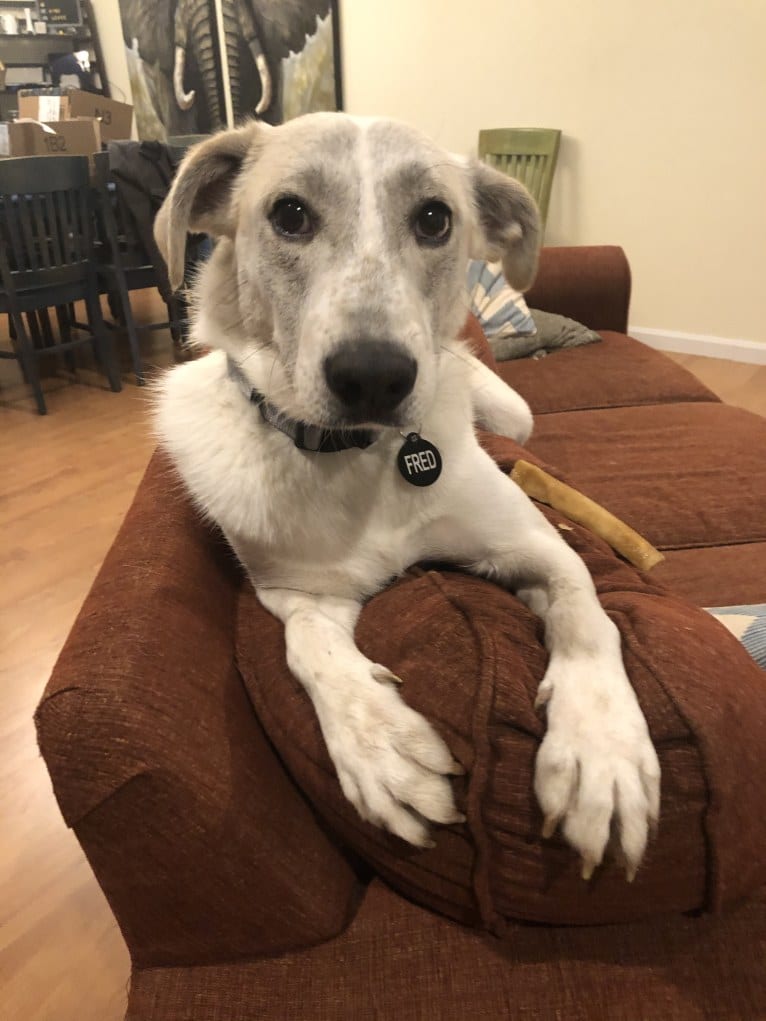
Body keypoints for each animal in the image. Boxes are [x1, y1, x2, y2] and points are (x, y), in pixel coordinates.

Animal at [154, 109, 661, 878]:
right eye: (289, 214)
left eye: (433, 219)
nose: (373, 376)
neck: (364, 459)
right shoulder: (299, 594)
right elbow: (308, 650)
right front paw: (379, 746)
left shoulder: (533, 543)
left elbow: (587, 615)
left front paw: (602, 751)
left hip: (516, 414)